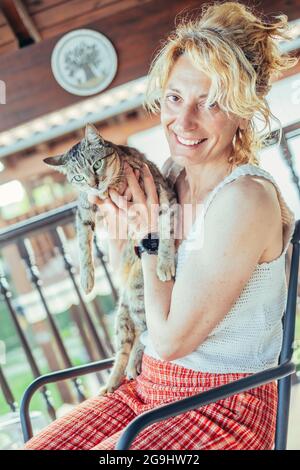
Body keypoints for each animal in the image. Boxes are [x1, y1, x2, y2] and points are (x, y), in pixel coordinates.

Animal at [44, 123, 178, 394]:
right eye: (78, 177)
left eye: (96, 165)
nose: (94, 183)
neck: (112, 188)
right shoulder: (84, 210)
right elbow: (83, 247)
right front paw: (86, 280)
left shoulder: (164, 197)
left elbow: (166, 232)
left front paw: (164, 262)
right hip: (122, 315)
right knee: (125, 346)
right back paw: (112, 381)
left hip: (138, 294)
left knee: (146, 334)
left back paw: (133, 364)